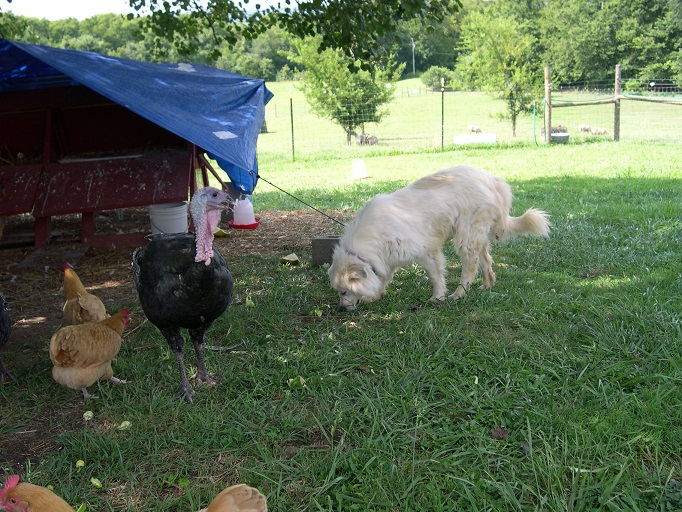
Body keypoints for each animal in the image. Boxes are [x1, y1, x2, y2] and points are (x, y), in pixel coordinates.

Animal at [328, 167, 548, 312]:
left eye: (344, 292)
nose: (341, 309)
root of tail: (491, 180)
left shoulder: (427, 251)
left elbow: (435, 276)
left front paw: (437, 297)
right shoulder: (386, 259)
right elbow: (382, 279)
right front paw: (374, 295)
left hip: (465, 237)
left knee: (470, 267)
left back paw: (459, 294)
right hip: (477, 235)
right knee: (485, 260)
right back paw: (486, 286)